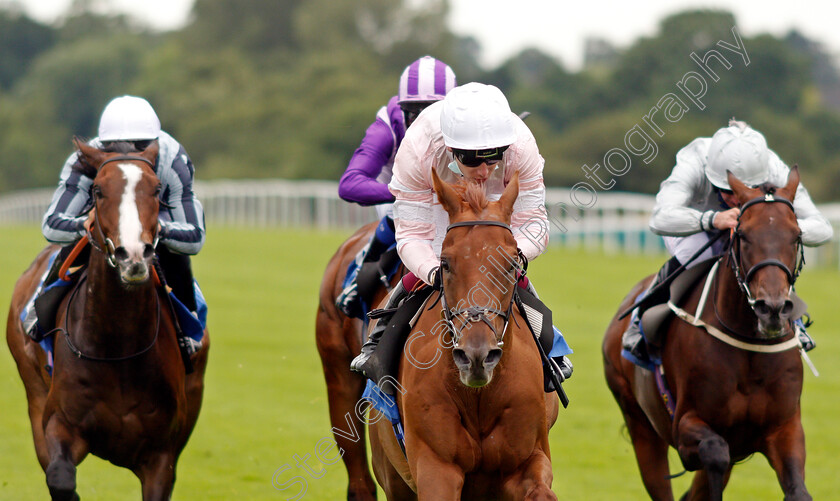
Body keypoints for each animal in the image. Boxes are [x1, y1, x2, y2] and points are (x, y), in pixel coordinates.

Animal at [5, 138, 209, 500]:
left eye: (156, 189)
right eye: (97, 190)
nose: (134, 256)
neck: (119, 348)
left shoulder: (162, 457)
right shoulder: (60, 424)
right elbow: (60, 478)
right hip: (33, 392)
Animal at [366, 170, 556, 498]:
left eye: (511, 264)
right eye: (445, 263)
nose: (476, 356)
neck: (479, 395)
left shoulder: (527, 460)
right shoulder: (437, 468)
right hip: (392, 474)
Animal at [604, 169, 812, 500]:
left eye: (797, 235)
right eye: (743, 234)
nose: (772, 308)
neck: (749, 346)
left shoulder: (785, 428)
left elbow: (798, 491)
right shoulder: (686, 427)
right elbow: (714, 452)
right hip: (640, 425)